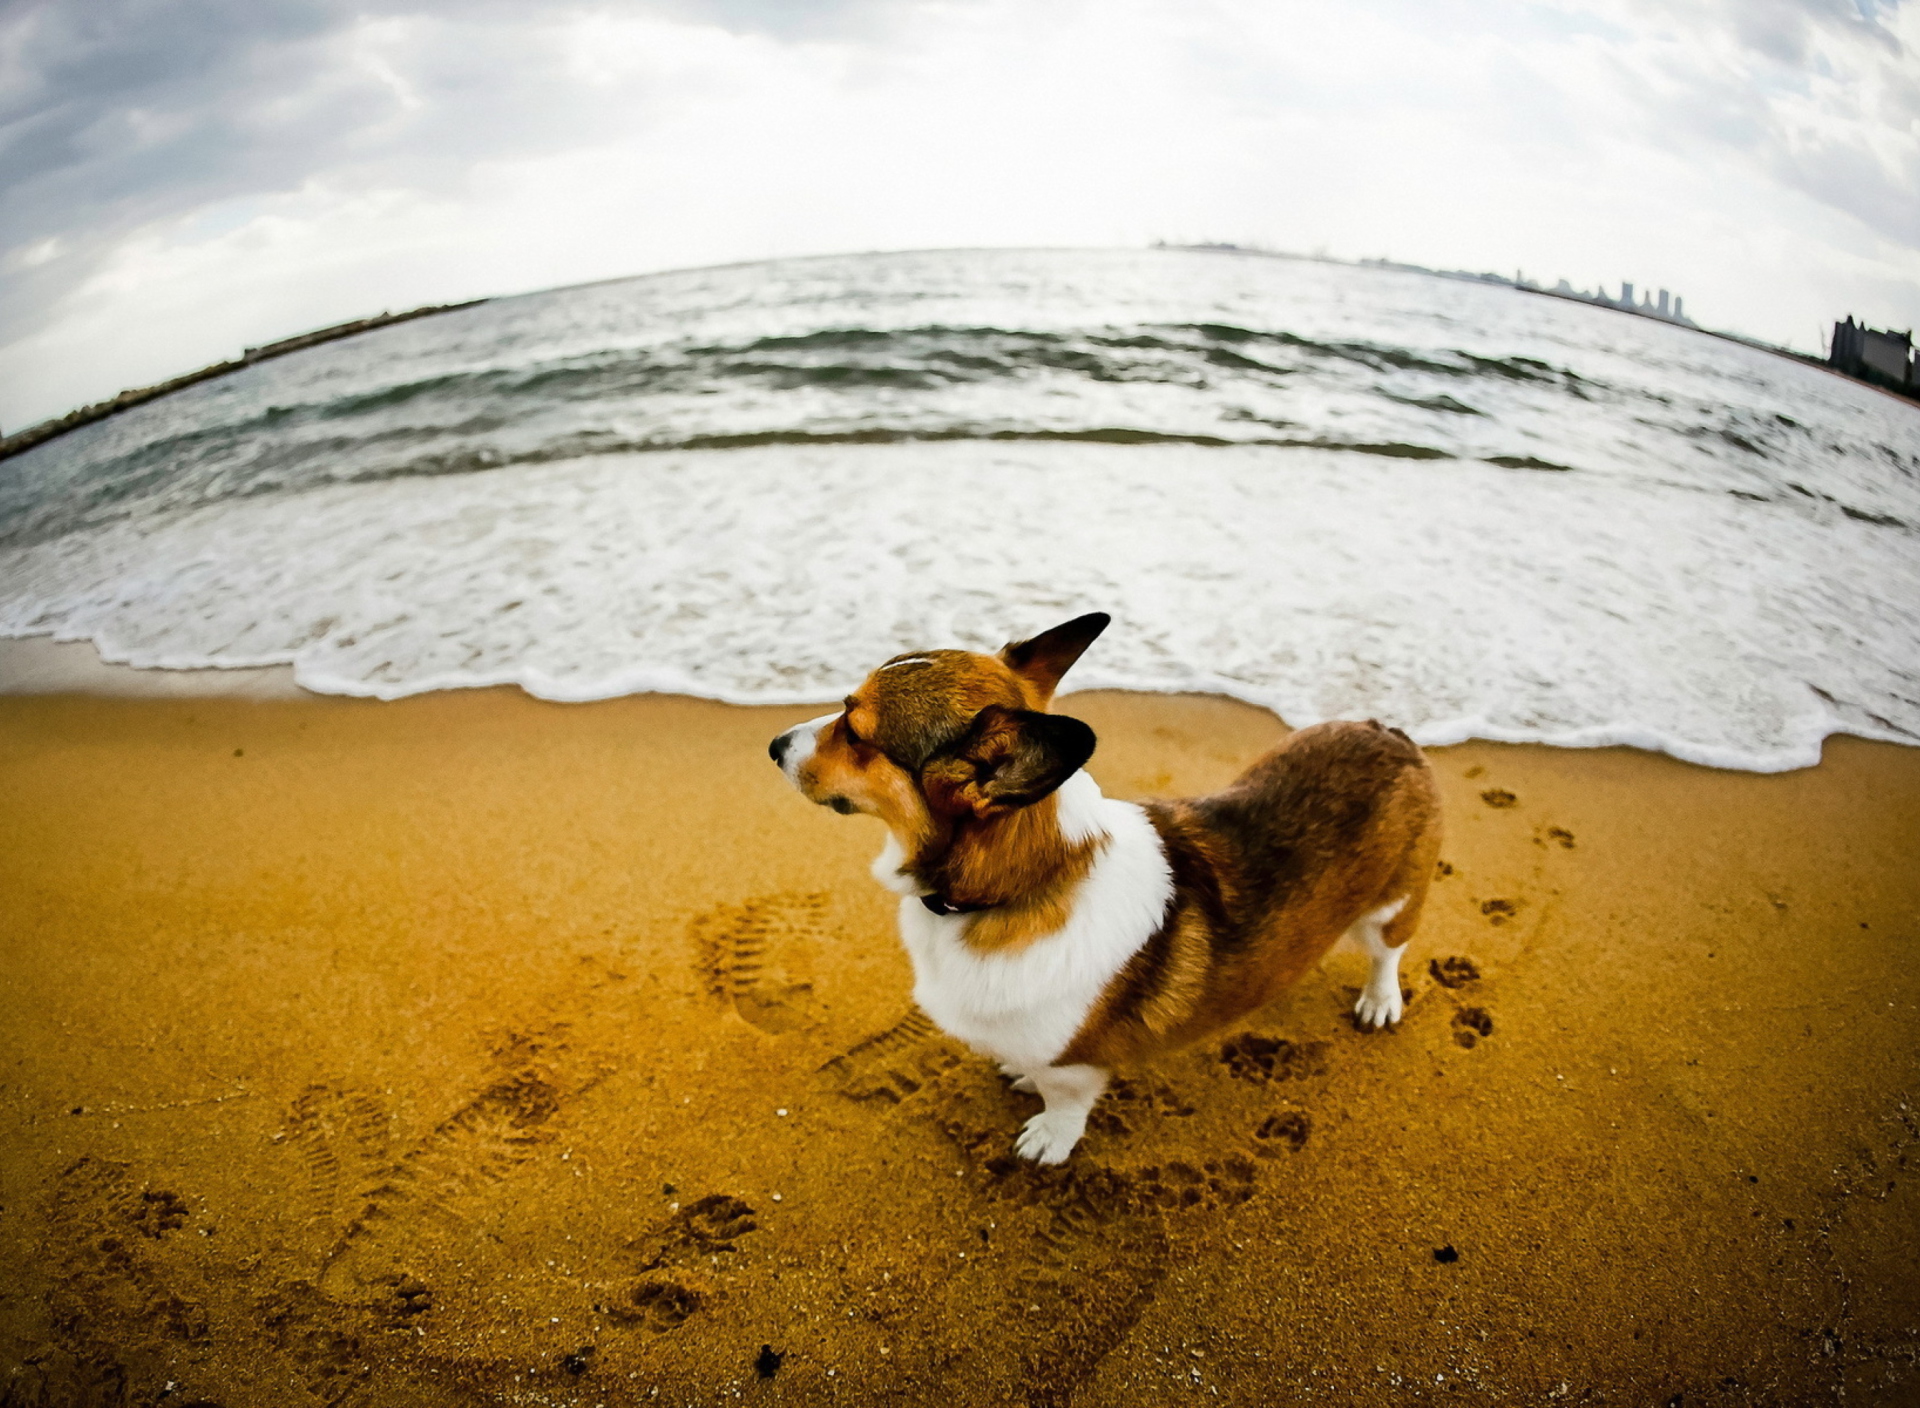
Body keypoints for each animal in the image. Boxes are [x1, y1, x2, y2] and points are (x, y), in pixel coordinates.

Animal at [768, 610, 1443, 1160]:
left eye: (856, 733)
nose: (773, 745)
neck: (1020, 883)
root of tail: (1387, 730)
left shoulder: (1074, 1066)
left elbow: (1065, 1105)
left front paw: (1048, 1138)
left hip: (1392, 906)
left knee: (1389, 951)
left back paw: (1380, 1001)